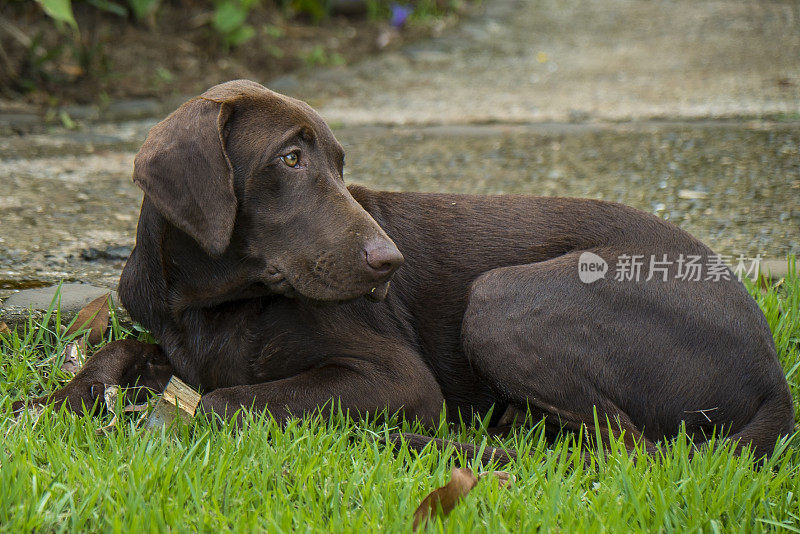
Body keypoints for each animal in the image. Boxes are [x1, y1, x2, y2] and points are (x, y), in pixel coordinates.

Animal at [12, 81, 792, 462]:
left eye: (339, 165)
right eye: (290, 159)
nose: (390, 262)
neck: (212, 304)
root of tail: (773, 378)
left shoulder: (395, 377)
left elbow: (222, 402)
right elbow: (114, 354)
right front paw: (46, 408)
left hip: (502, 297)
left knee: (622, 447)